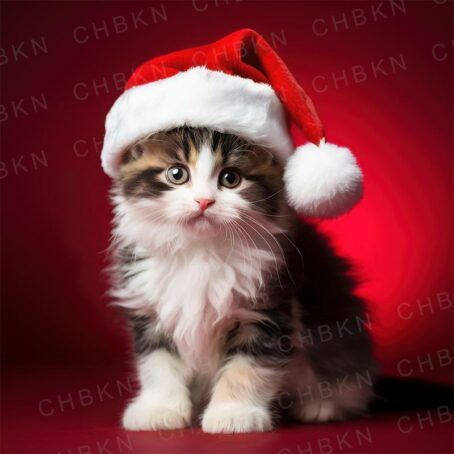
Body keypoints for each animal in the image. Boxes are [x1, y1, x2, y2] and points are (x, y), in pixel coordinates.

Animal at [110, 127, 376, 432]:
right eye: (177, 174)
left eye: (230, 178)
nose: (204, 201)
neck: (201, 251)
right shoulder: (150, 311)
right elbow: (157, 364)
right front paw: (159, 409)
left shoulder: (267, 310)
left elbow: (247, 367)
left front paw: (233, 414)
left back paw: (320, 405)